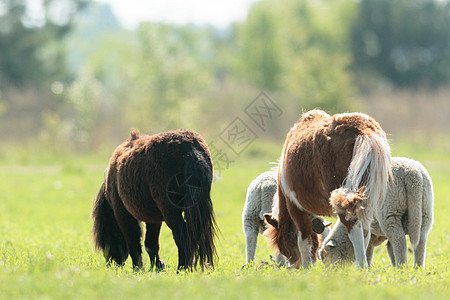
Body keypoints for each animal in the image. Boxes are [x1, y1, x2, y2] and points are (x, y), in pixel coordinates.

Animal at [90, 127, 217, 270]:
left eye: (105, 235)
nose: (112, 263)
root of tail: (189, 149)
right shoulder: (153, 219)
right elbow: (151, 244)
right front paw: (158, 265)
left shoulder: (123, 215)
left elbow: (134, 243)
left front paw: (138, 268)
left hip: (170, 211)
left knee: (183, 236)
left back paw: (182, 269)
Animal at [264, 109, 390, 268]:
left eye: (282, 246)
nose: (293, 266)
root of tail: (362, 129)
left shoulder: (296, 209)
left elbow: (304, 242)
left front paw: (307, 267)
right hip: (366, 202)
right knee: (365, 232)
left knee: (354, 230)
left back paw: (361, 266)